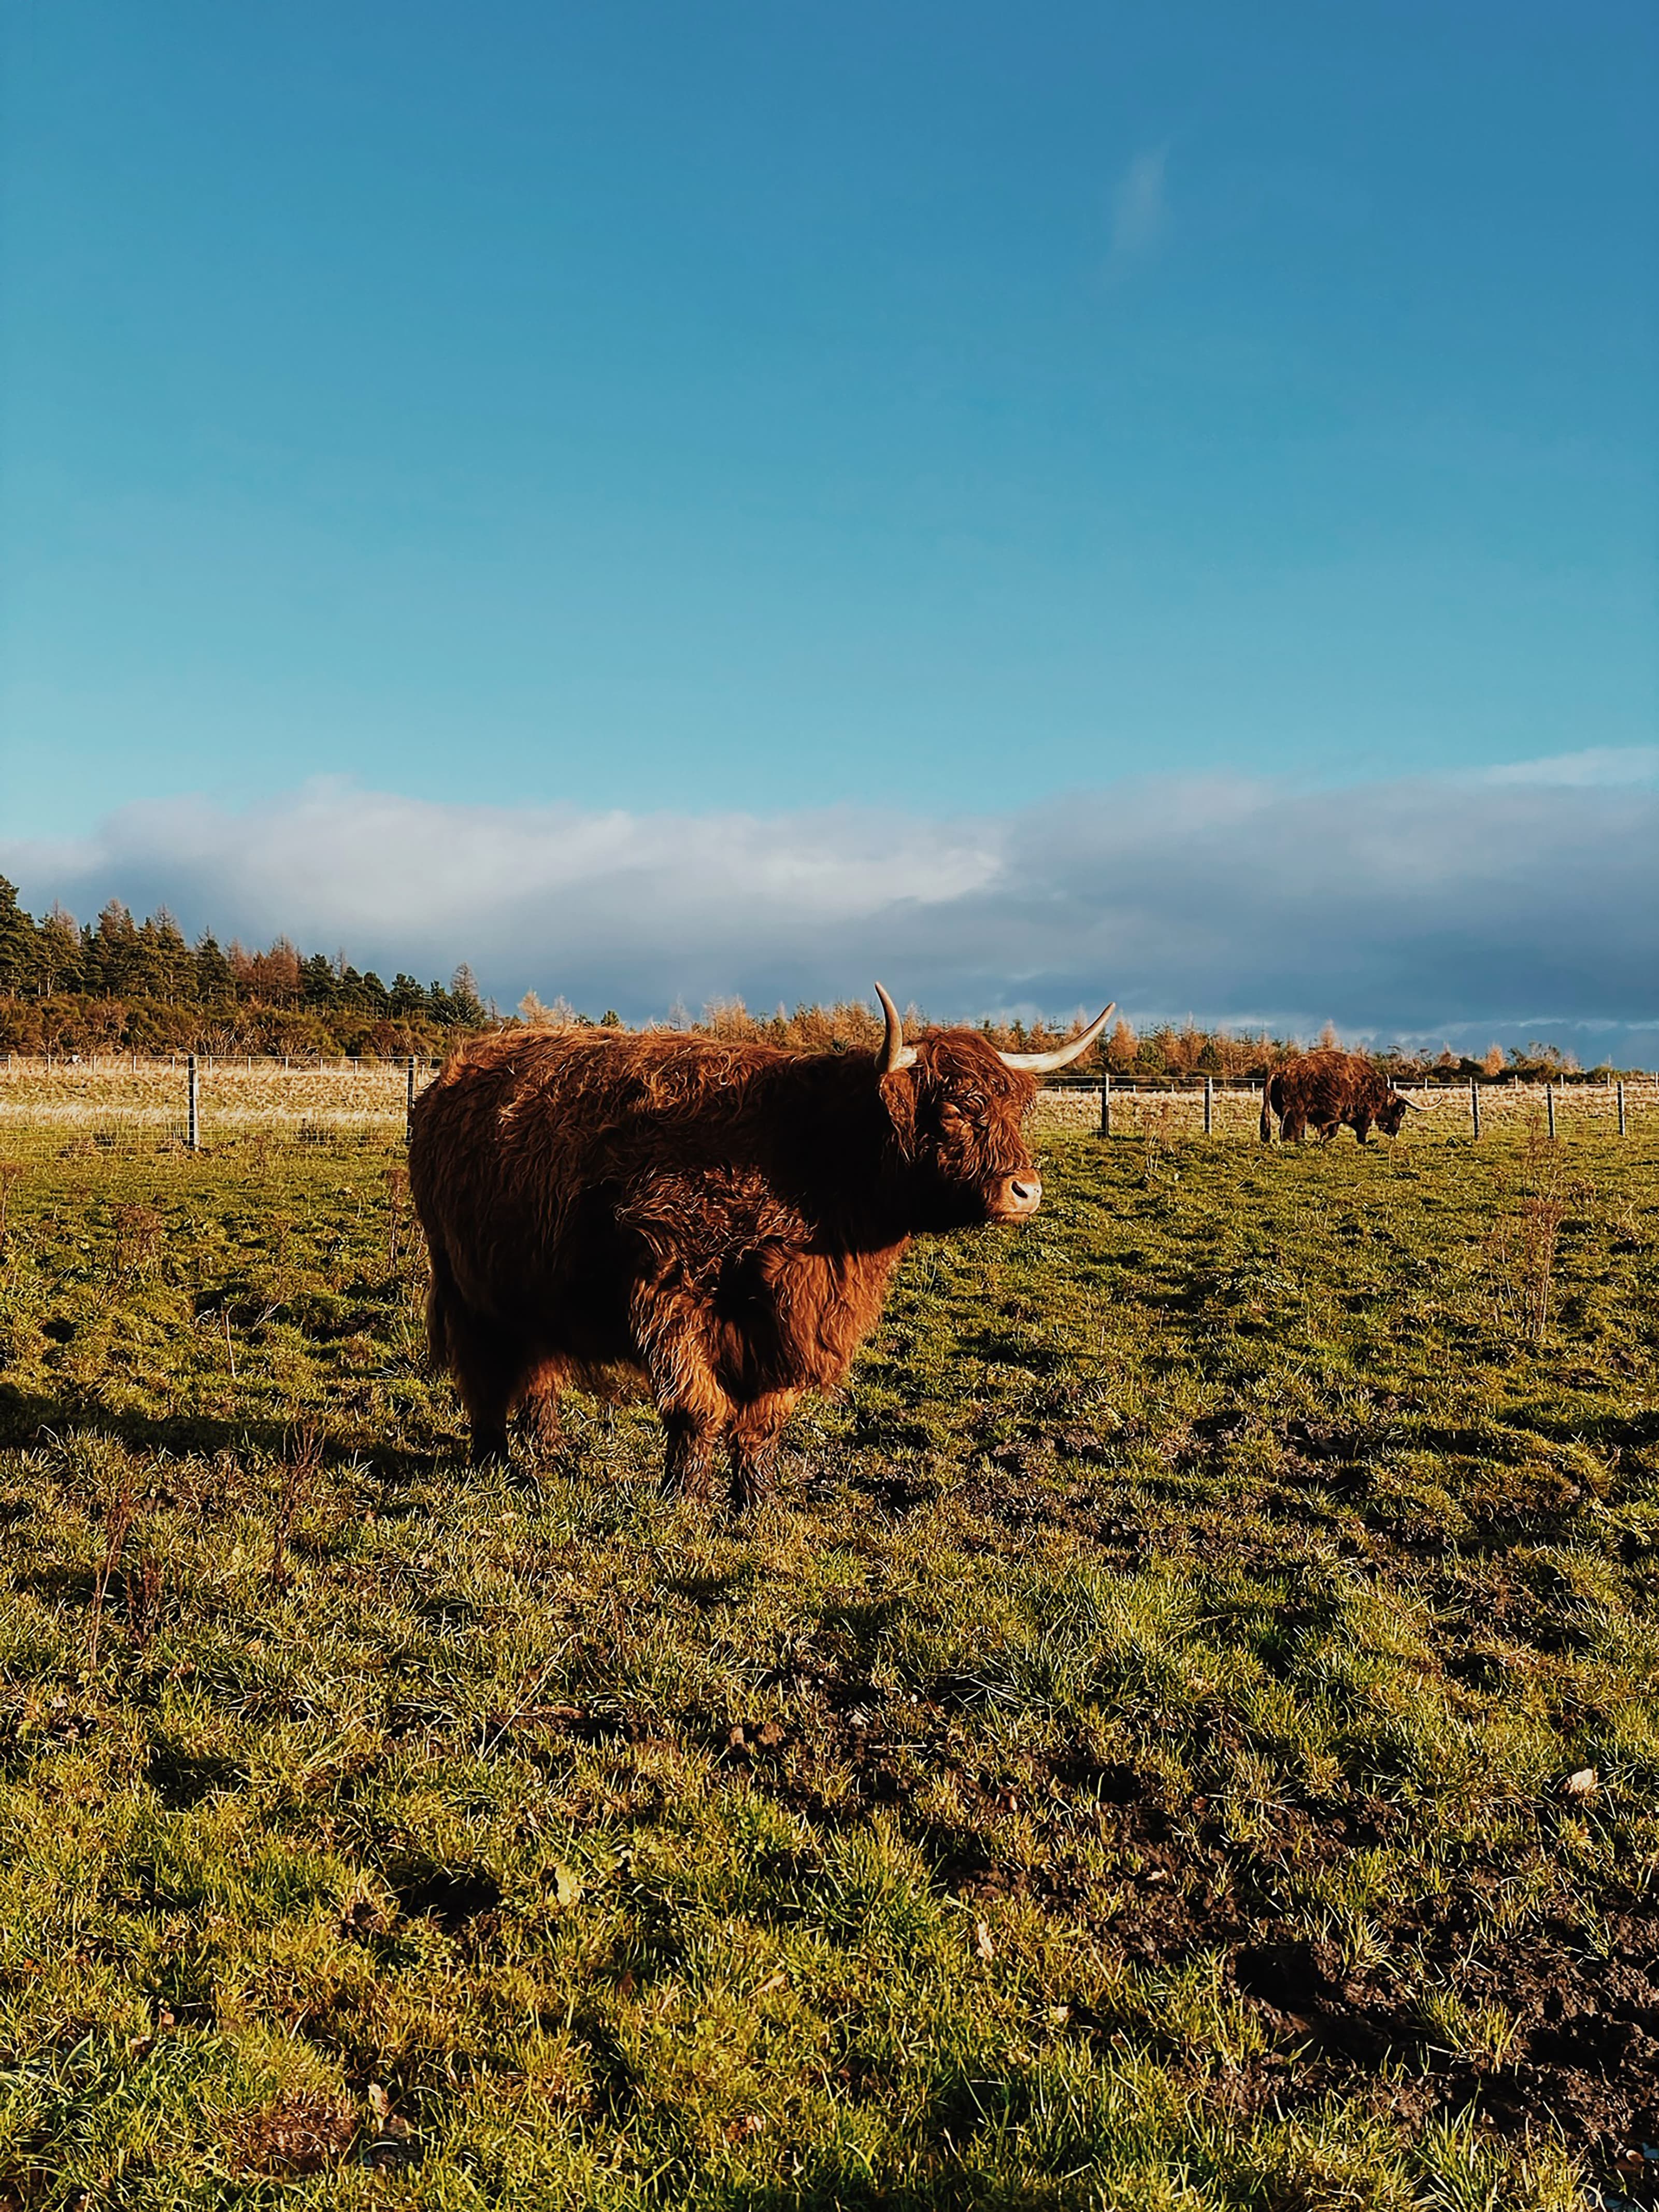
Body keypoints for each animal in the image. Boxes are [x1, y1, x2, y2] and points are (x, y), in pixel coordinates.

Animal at [408, 985, 1114, 1505]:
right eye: (956, 1108)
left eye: (1012, 1109)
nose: (1025, 1190)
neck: (811, 1164)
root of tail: (455, 1072)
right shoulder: (669, 1293)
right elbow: (698, 1407)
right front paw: (682, 1498)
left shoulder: (797, 1322)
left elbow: (762, 1421)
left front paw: (755, 1502)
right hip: (466, 1283)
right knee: (486, 1376)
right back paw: (494, 1463)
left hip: (533, 1287)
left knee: (539, 1372)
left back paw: (547, 1452)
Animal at [1259, 1049, 1421, 1145]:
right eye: (1400, 1111)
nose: (1395, 1132)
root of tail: (1280, 1071)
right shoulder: (1363, 1116)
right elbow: (1361, 1134)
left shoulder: (1335, 1118)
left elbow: (1332, 1132)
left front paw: (1321, 1141)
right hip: (1296, 1113)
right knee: (1290, 1132)